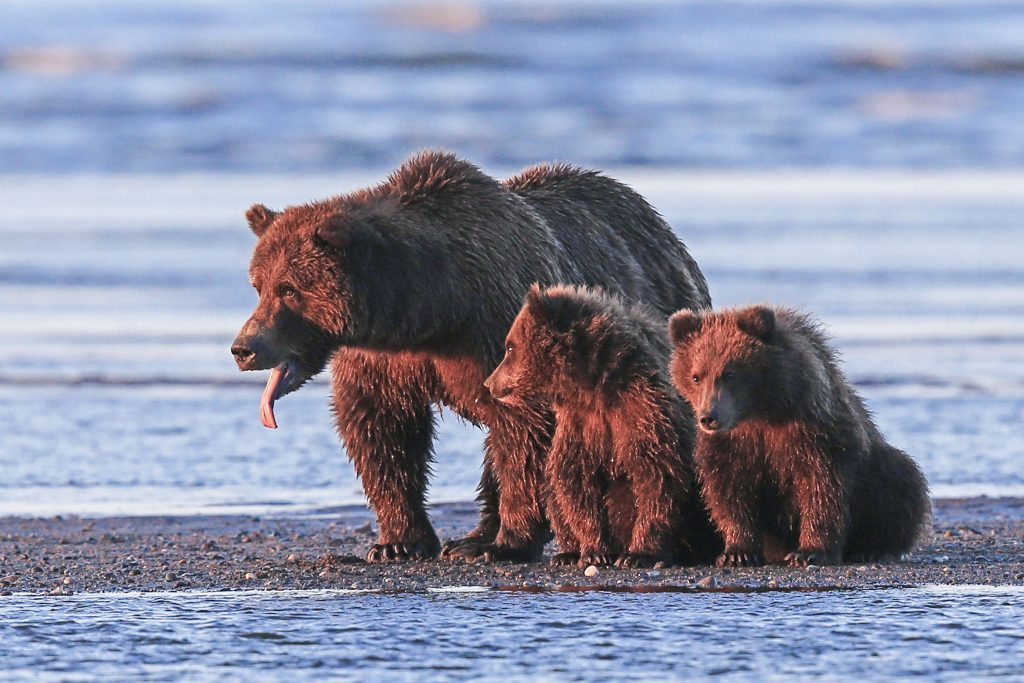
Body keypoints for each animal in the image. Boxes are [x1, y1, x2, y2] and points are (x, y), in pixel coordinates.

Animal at [232, 152, 712, 565]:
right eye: (259, 284)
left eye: (289, 288)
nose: (244, 348)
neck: (430, 308)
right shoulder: (382, 358)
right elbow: (381, 428)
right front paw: (398, 541)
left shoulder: (500, 334)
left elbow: (524, 436)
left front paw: (505, 543)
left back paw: (480, 540)